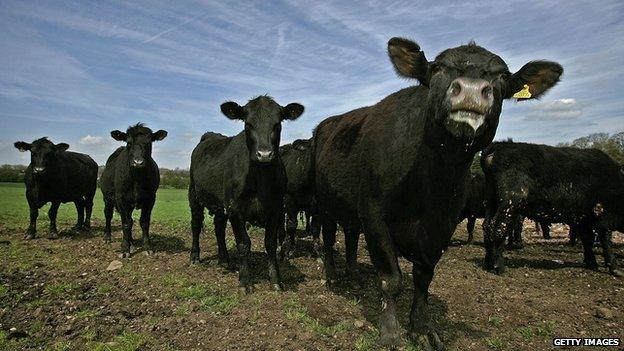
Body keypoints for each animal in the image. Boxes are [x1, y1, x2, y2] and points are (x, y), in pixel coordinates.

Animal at [100, 124, 168, 258]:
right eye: (129, 142)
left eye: (149, 143)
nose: (138, 162)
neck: (137, 178)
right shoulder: (121, 198)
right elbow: (126, 223)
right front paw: (125, 249)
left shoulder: (151, 198)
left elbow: (144, 222)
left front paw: (147, 247)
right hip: (107, 198)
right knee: (108, 215)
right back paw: (108, 237)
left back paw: (131, 240)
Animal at [190, 96, 304, 294]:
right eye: (248, 124)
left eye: (277, 123)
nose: (264, 154)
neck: (260, 179)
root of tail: (210, 136)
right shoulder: (235, 208)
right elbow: (243, 243)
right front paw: (245, 281)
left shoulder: (275, 208)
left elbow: (270, 244)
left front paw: (276, 280)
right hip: (194, 194)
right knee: (196, 224)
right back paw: (195, 257)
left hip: (221, 204)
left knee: (219, 227)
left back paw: (224, 260)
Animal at [312, 38, 560, 350]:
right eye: (438, 68)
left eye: (503, 76)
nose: (470, 90)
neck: (429, 185)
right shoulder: (374, 215)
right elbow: (392, 279)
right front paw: (390, 332)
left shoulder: (441, 227)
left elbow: (423, 279)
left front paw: (421, 328)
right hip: (325, 204)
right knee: (328, 238)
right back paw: (333, 276)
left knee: (351, 238)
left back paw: (354, 274)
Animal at [480, 142, 620, 276]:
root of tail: (498, 146)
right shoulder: (602, 214)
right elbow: (605, 239)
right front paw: (614, 268)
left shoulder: (583, 218)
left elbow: (588, 240)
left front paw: (592, 264)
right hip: (510, 202)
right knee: (498, 227)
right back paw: (499, 267)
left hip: (491, 201)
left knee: (487, 226)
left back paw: (489, 263)